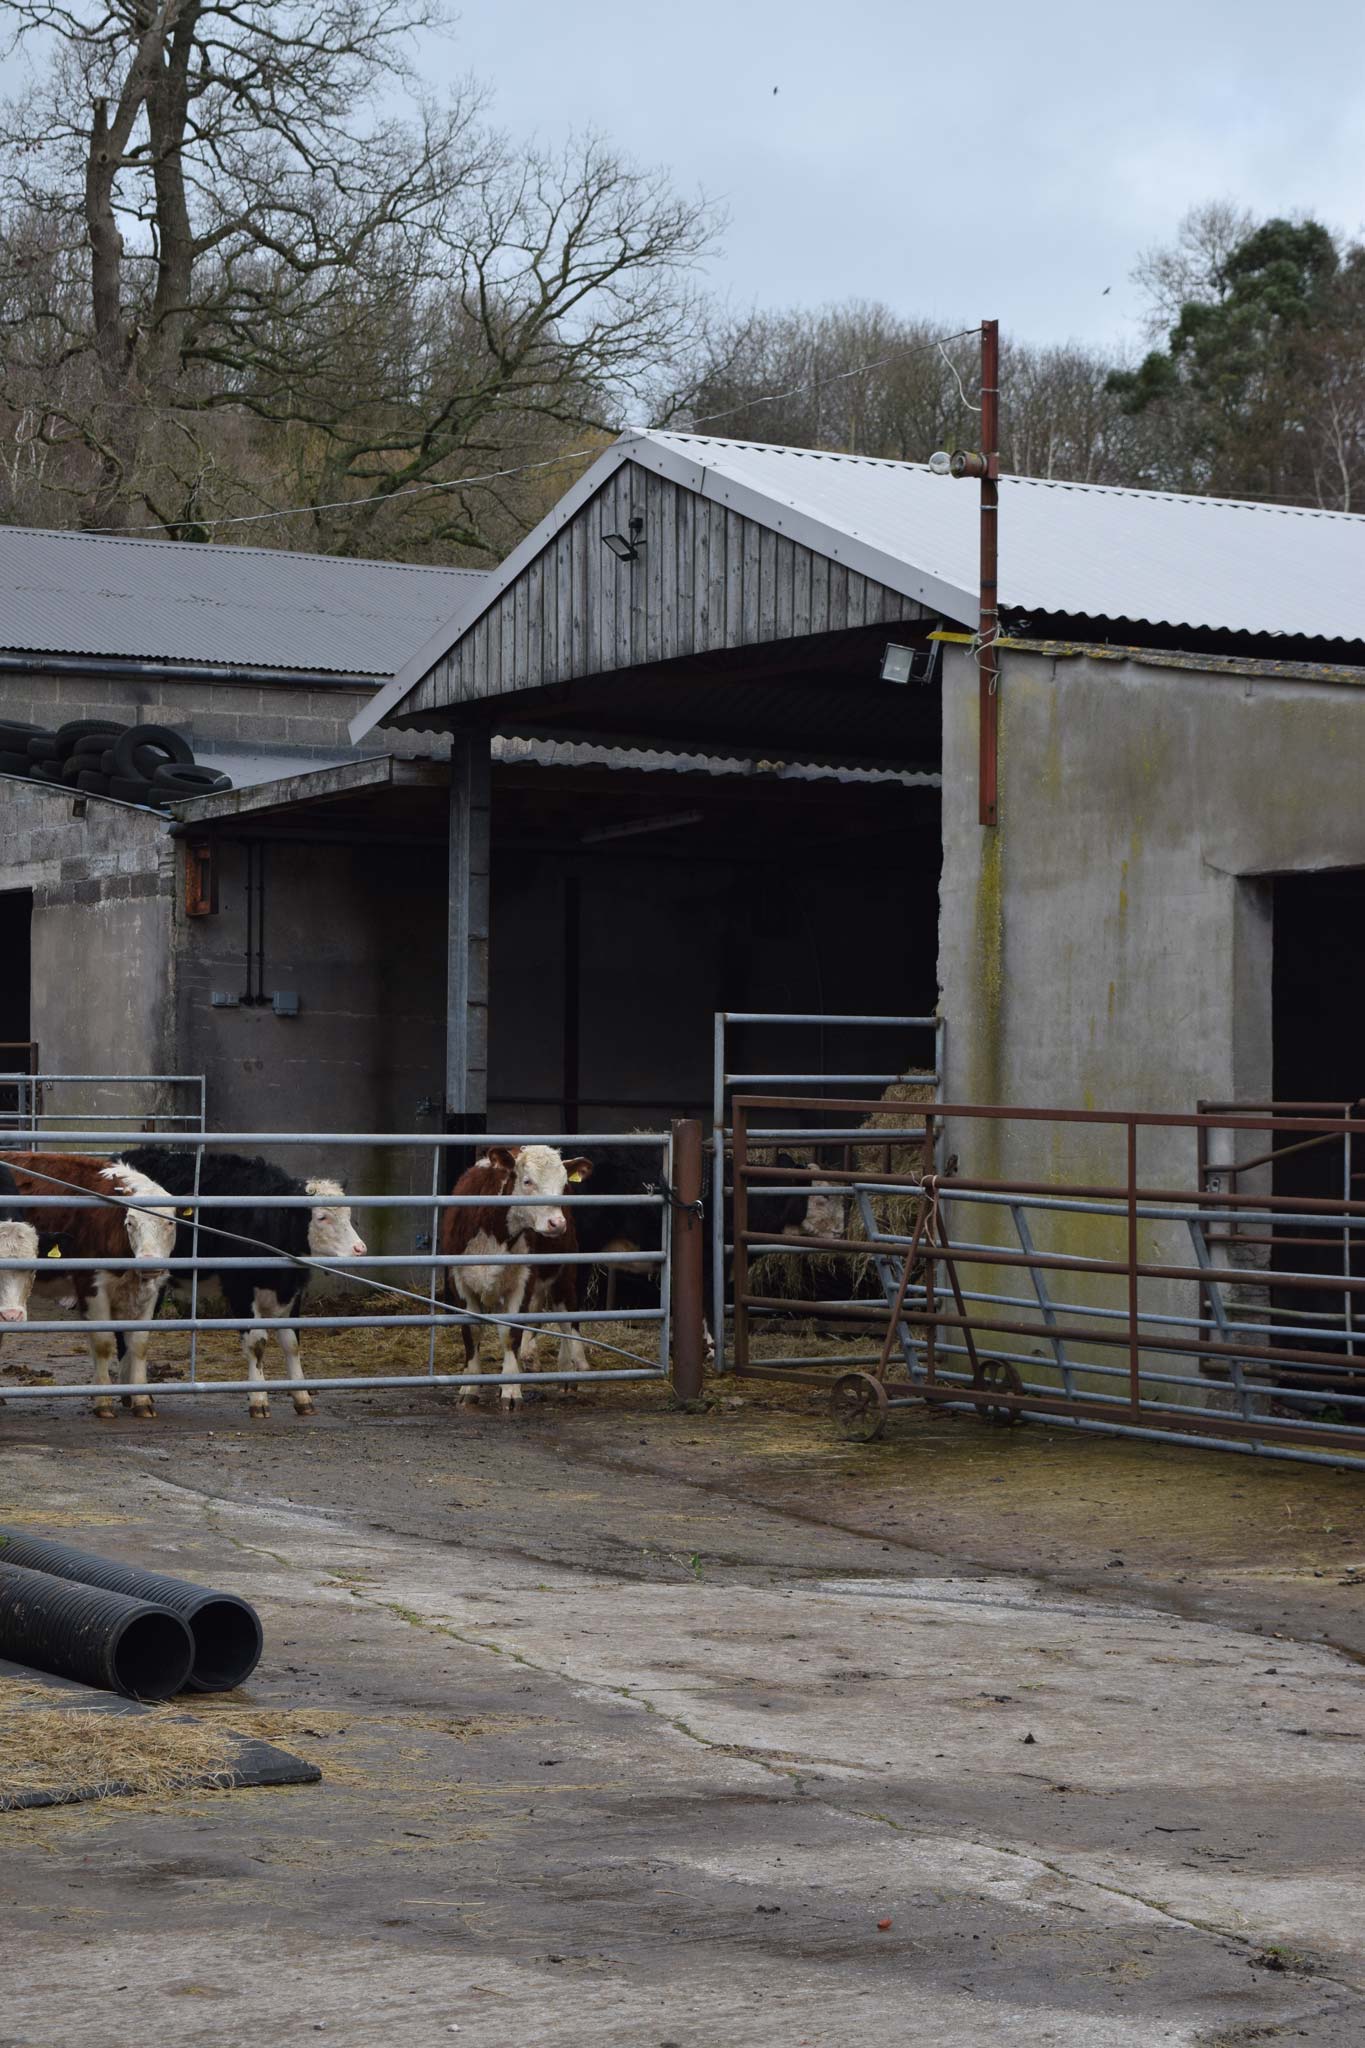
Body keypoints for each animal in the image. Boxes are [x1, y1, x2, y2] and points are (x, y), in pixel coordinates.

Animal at [0, 1153, 176, 1418]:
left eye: (170, 1224)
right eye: (131, 1222)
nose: (149, 1262)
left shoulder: (149, 1290)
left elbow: (139, 1343)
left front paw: (141, 1400)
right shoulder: (91, 1286)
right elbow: (102, 1343)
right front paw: (103, 1402)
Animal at [120, 1147, 366, 1419]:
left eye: (348, 1214)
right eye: (322, 1217)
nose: (359, 1249)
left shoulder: (293, 1290)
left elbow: (292, 1344)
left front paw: (302, 1397)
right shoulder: (239, 1289)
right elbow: (257, 1344)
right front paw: (259, 1399)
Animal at [440, 1144, 593, 1412]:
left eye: (563, 1184)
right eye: (527, 1181)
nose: (557, 1223)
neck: (495, 1232)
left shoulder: (523, 1280)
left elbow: (511, 1334)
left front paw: (511, 1390)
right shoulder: (459, 1283)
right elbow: (472, 1333)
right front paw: (470, 1388)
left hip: (564, 1273)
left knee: (566, 1316)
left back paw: (571, 1369)